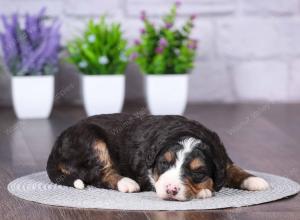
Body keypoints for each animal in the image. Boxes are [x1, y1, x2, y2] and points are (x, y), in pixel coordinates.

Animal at [47, 113, 270, 201]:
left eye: (198, 172)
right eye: (164, 163)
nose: (171, 190)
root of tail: (56, 146)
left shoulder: (221, 155)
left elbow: (233, 168)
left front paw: (255, 180)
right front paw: (205, 192)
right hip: (92, 141)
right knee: (97, 174)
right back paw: (127, 183)